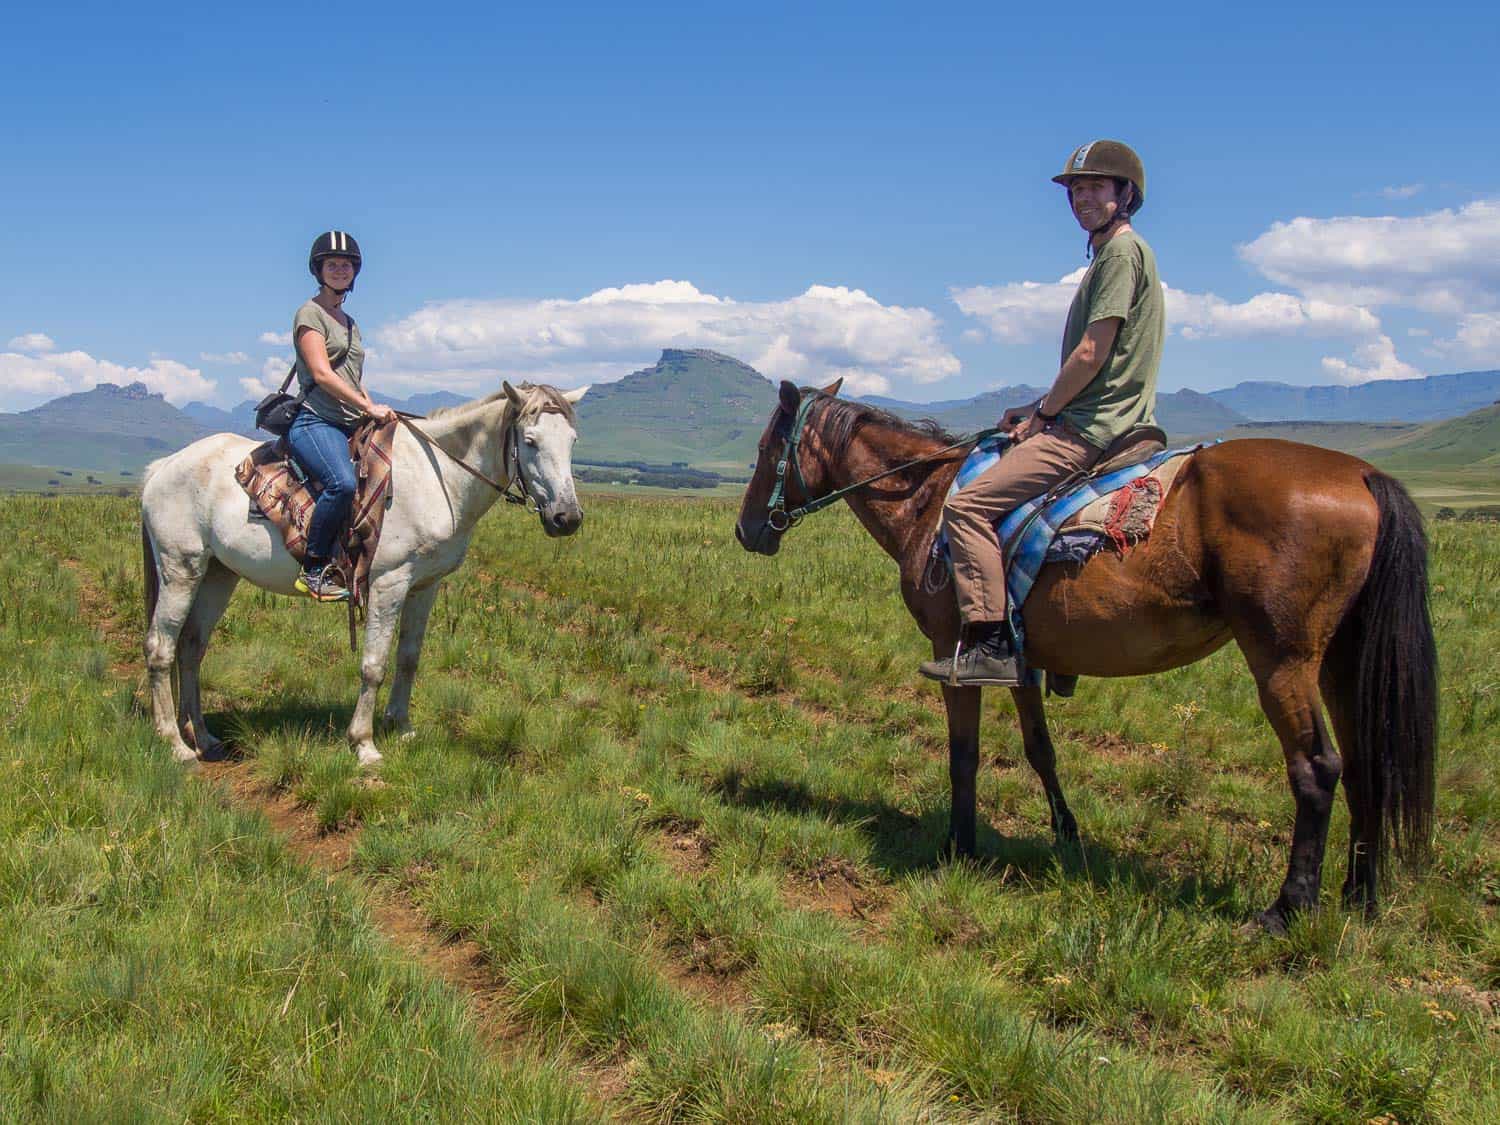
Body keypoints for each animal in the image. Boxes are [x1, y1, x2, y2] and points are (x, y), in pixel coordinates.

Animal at [141, 384, 585, 774]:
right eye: (530, 441)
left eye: (573, 440)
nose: (567, 518)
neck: (437, 478)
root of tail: (162, 468)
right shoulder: (390, 584)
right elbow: (374, 664)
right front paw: (364, 744)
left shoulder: (425, 586)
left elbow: (408, 657)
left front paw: (402, 727)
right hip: (181, 568)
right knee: (161, 648)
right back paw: (176, 745)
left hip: (218, 574)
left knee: (191, 648)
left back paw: (203, 737)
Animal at [732, 381, 1434, 936]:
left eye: (767, 450)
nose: (746, 530)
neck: (926, 500)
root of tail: (1362, 477)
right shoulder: (1013, 652)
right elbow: (1039, 746)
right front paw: (1066, 834)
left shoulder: (950, 650)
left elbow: (963, 754)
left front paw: (958, 847)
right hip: (1341, 661)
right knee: (1367, 763)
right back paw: (1360, 897)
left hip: (1283, 659)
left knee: (1316, 768)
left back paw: (1286, 910)